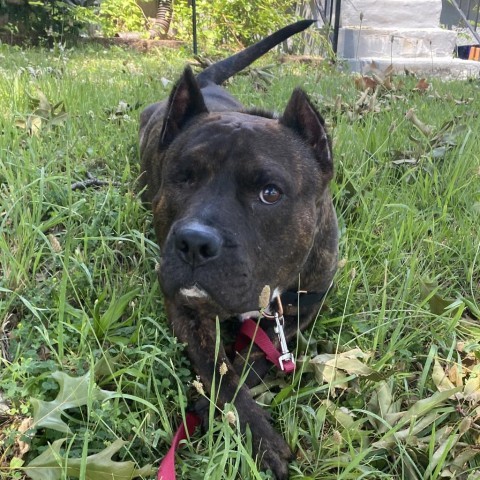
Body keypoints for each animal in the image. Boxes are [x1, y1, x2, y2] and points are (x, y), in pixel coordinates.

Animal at [140, 20, 338, 478]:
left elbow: (255, 359)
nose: (194, 242)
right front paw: (258, 435)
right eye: (183, 177)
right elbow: (220, 370)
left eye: (270, 193)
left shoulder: (305, 306)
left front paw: (209, 401)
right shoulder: (188, 308)